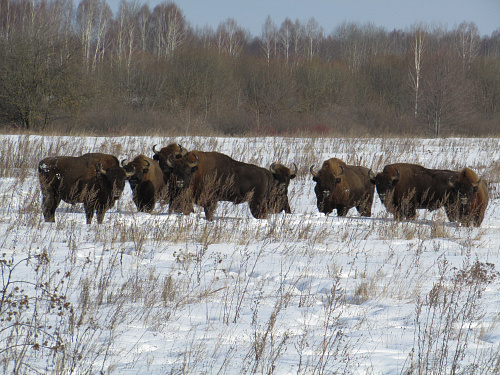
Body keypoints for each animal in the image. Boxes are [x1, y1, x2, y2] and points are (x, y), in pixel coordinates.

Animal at [164, 151, 296, 220]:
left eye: (187, 171)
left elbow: (209, 212)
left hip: (256, 202)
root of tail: (267, 173)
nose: (179, 183)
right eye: (175, 171)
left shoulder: (210, 201)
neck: (197, 171)